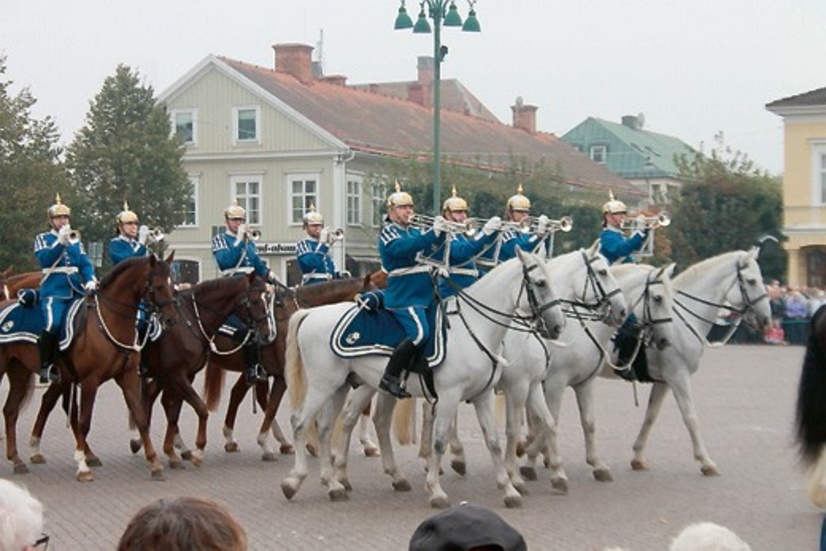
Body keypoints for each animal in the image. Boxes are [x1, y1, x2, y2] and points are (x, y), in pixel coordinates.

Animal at [0, 256, 175, 480]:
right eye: (159, 286)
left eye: (172, 283)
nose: (171, 319)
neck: (109, 320)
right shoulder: (89, 381)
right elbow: (84, 421)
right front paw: (82, 466)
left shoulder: (127, 377)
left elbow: (141, 418)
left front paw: (154, 463)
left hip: (20, 372)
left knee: (11, 410)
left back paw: (17, 460)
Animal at [280, 250, 564, 508]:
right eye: (540, 282)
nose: (557, 327)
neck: (474, 327)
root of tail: (312, 314)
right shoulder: (457, 394)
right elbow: (440, 441)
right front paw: (436, 490)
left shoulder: (484, 394)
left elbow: (494, 441)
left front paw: (508, 489)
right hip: (323, 385)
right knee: (301, 423)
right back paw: (295, 481)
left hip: (342, 385)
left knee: (329, 427)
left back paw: (336, 483)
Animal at [520, 264, 676, 492]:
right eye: (657, 298)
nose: (666, 340)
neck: (583, 330)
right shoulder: (555, 383)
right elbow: (550, 421)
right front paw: (531, 460)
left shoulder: (584, 383)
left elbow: (588, 422)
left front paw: (597, 465)